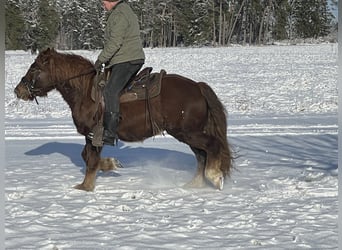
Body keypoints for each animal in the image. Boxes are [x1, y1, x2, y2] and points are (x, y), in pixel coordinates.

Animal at [13, 47, 232, 190]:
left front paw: (86, 187)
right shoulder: (91, 136)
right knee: (201, 155)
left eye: (34, 68)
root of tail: (198, 87)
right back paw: (194, 184)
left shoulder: (96, 134)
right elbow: (87, 156)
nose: (18, 90)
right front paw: (111, 164)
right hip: (188, 134)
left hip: (188, 132)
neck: (85, 91)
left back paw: (214, 177)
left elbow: (91, 160)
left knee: (211, 147)